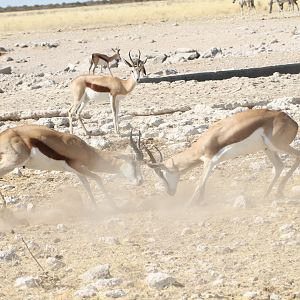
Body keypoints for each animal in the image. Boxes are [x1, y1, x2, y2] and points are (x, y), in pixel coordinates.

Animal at [144, 109, 298, 205]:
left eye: (161, 174)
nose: (170, 192)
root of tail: (292, 121)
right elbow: (202, 185)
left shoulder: (210, 161)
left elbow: (200, 184)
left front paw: (188, 206)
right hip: (268, 149)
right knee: (279, 166)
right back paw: (268, 194)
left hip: (278, 146)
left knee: (297, 157)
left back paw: (277, 192)